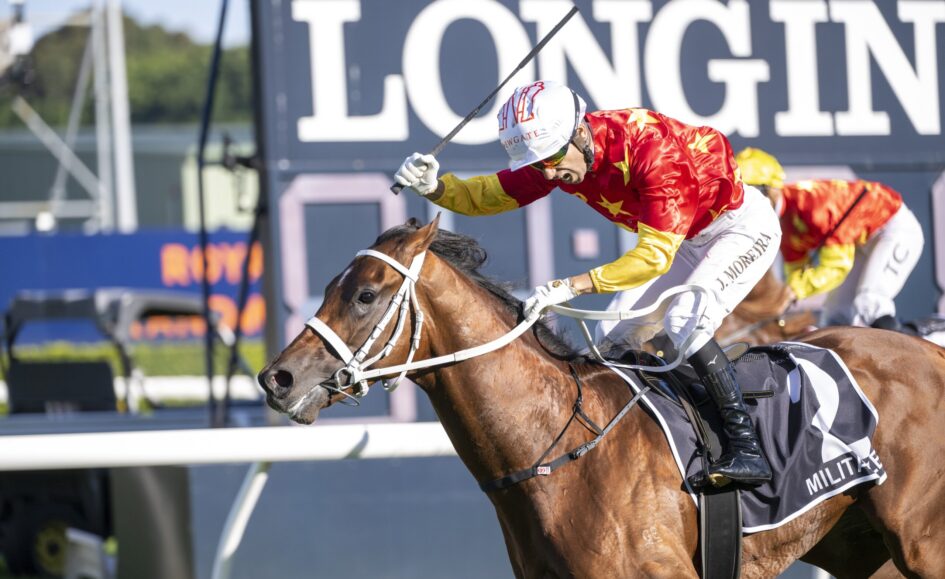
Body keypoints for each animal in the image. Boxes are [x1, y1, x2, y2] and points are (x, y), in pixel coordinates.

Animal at [259, 218, 945, 578]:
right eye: (330, 286)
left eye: (365, 294)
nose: (278, 378)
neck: (556, 451)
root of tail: (929, 352)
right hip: (862, 549)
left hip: (922, 543)